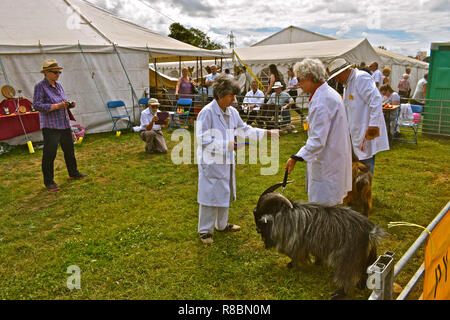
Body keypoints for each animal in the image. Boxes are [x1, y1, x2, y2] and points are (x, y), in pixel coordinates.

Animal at [253, 182, 386, 300]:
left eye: (259, 217)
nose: (257, 230)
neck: (285, 215)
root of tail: (370, 232)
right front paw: (317, 262)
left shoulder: (296, 244)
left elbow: (296, 256)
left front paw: (292, 265)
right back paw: (360, 285)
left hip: (347, 259)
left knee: (346, 276)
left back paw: (339, 293)